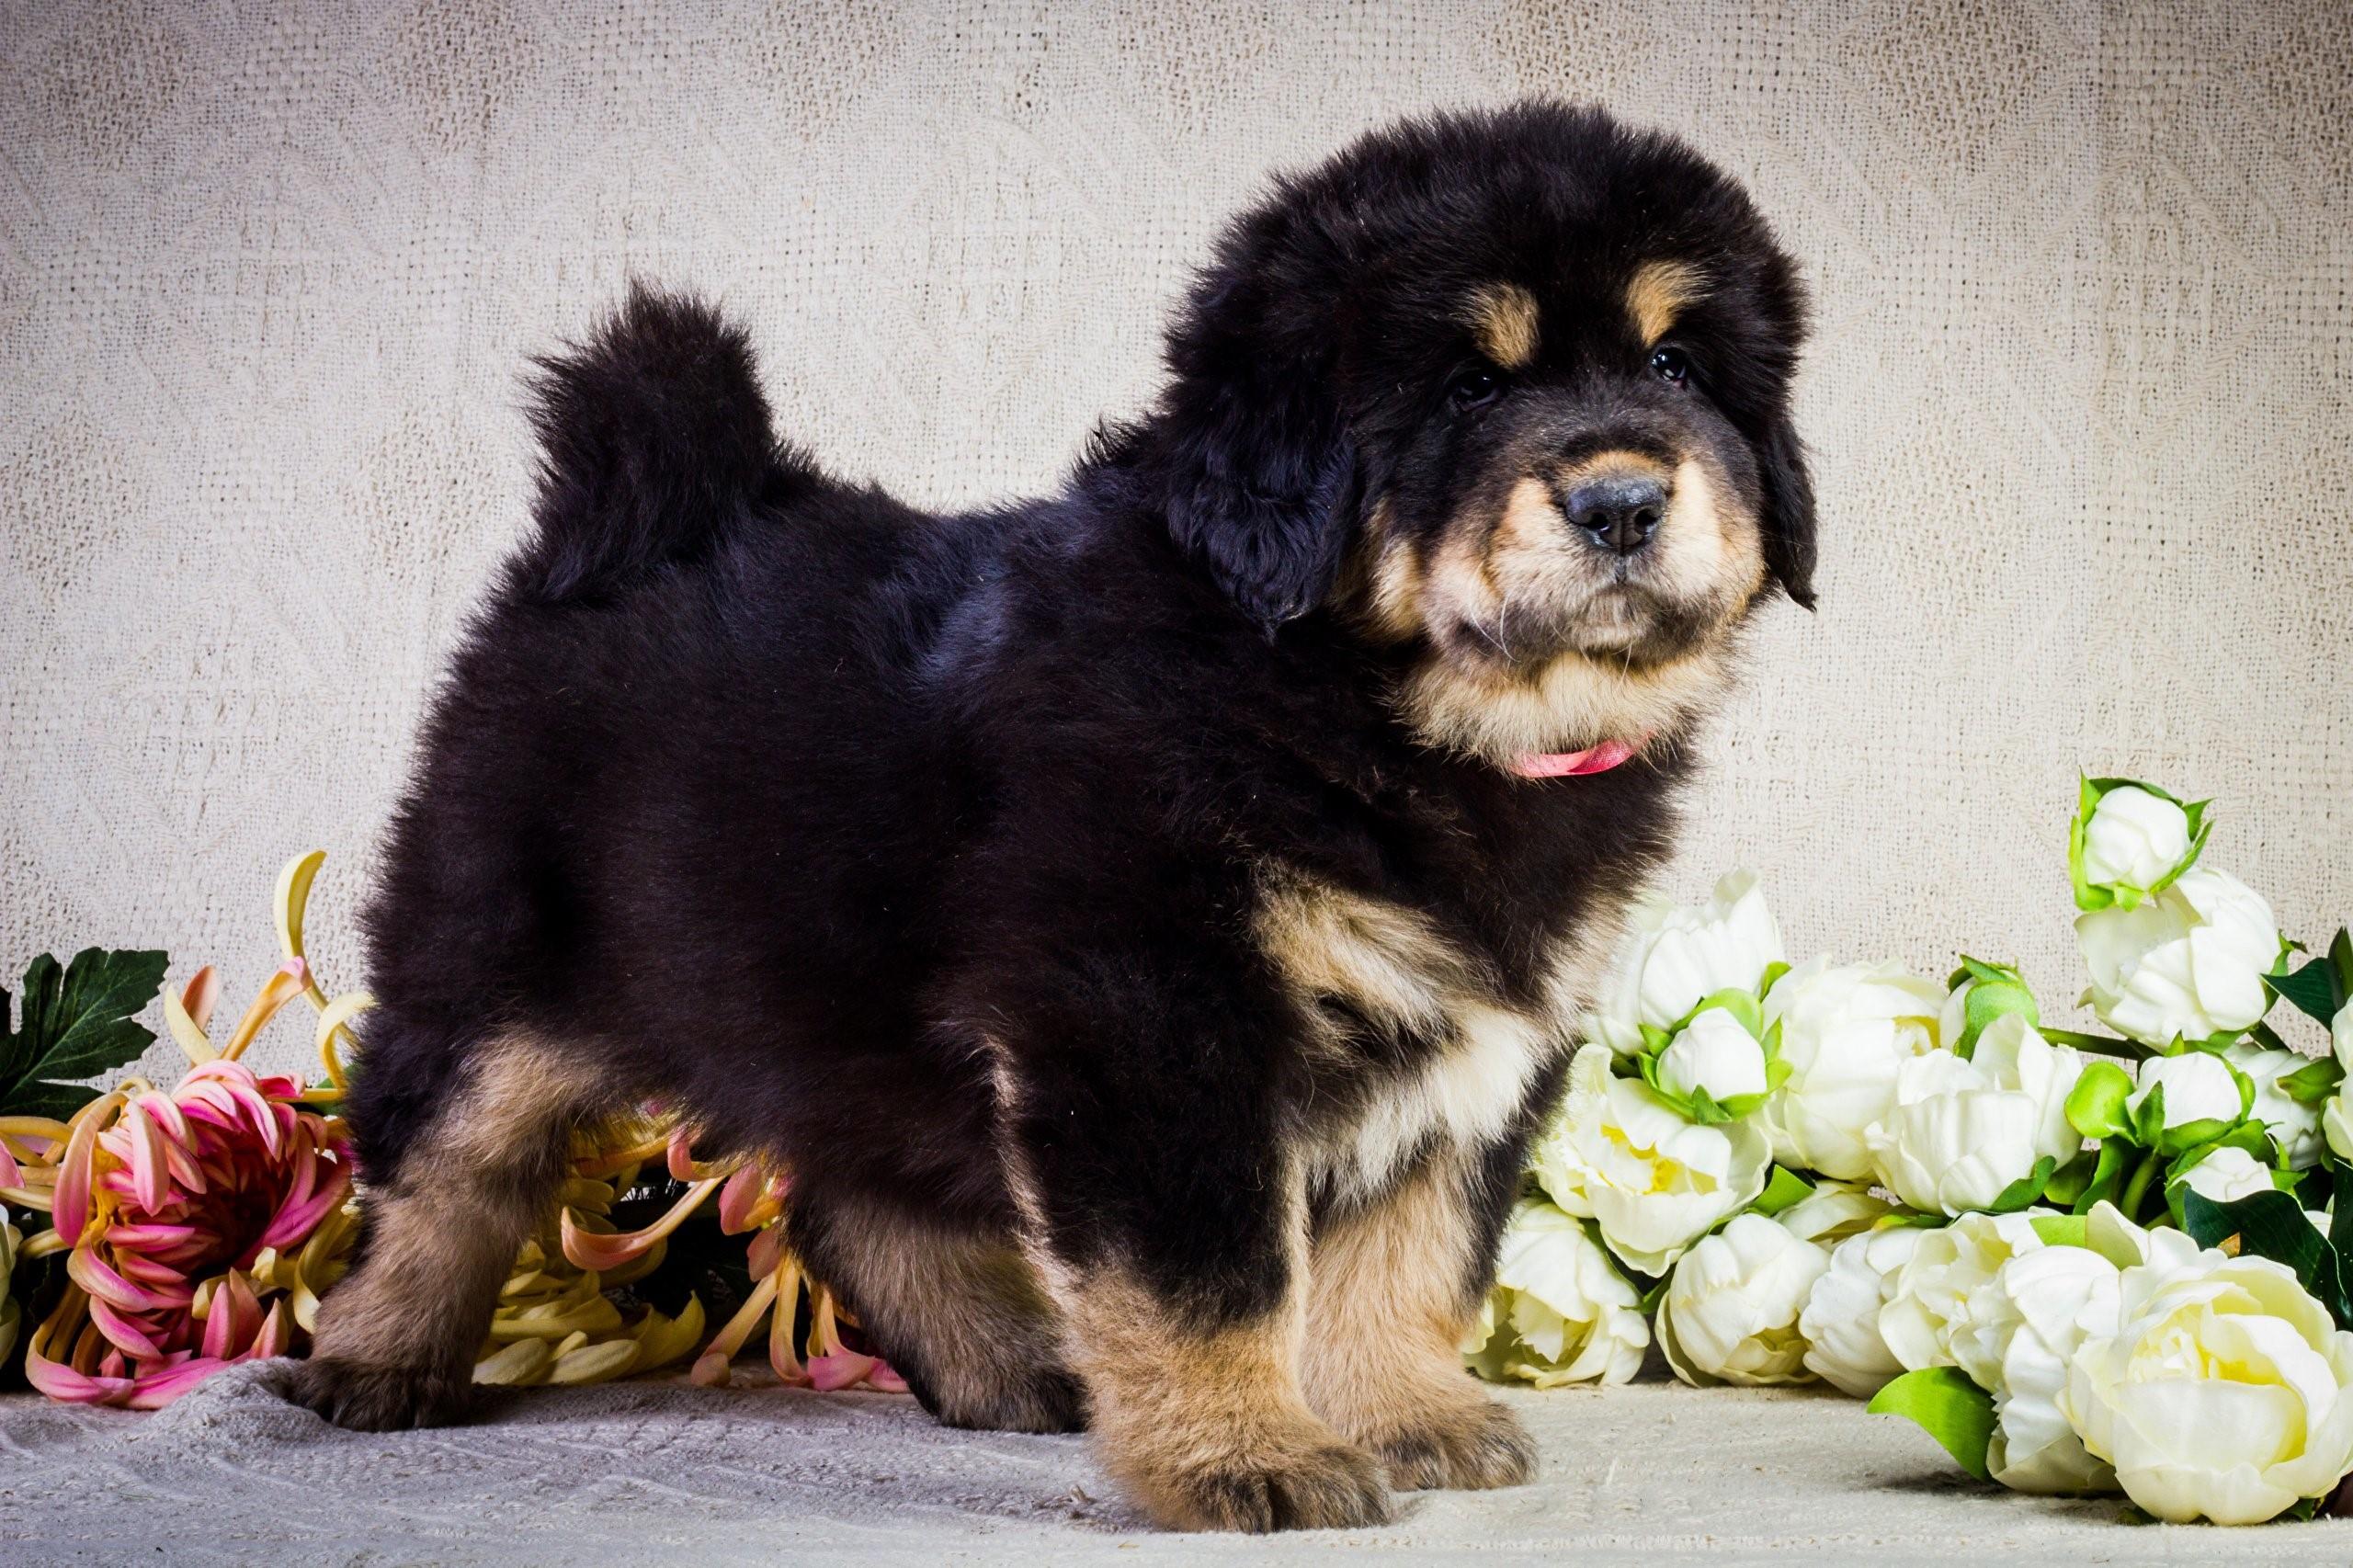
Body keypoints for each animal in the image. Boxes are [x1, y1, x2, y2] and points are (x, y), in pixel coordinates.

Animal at [284, 103, 1807, 1535]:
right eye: (1467, 388)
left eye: (1673, 367)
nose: (1623, 498)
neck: (1381, 709)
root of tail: (646, 503)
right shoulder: (1152, 1009)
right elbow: (1212, 1268)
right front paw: (1246, 1454)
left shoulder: (1476, 1032)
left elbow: (1416, 1244)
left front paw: (1404, 1411)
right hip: (489, 960)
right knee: (438, 1165)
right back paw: (372, 1360)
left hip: (841, 1006)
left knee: (858, 1193)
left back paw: (1014, 1362)